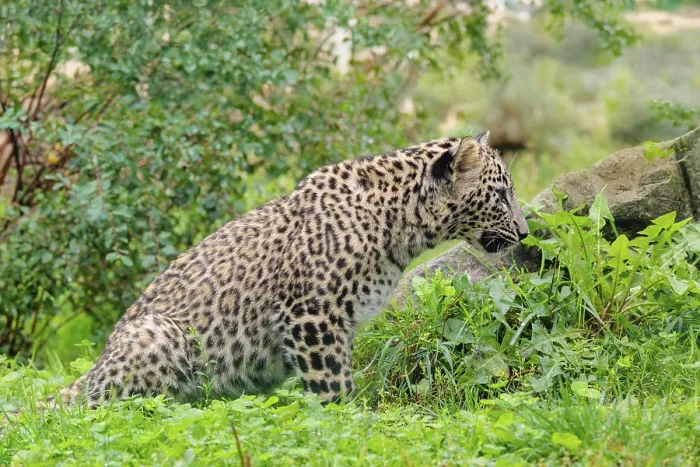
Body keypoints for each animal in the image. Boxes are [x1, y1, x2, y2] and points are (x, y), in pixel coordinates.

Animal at [45, 131, 529, 408]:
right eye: (502, 195)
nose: (526, 233)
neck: (399, 225)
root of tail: (91, 370)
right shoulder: (312, 315)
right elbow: (332, 384)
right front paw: (349, 424)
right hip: (158, 336)